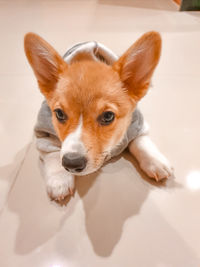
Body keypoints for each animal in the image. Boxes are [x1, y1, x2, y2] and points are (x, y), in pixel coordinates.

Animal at [23, 31, 173, 201]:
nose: (72, 163)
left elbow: (141, 142)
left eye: (108, 116)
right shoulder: (45, 132)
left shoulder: (137, 123)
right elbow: (54, 155)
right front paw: (59, 182)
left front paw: (156, 162)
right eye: (59, 114)